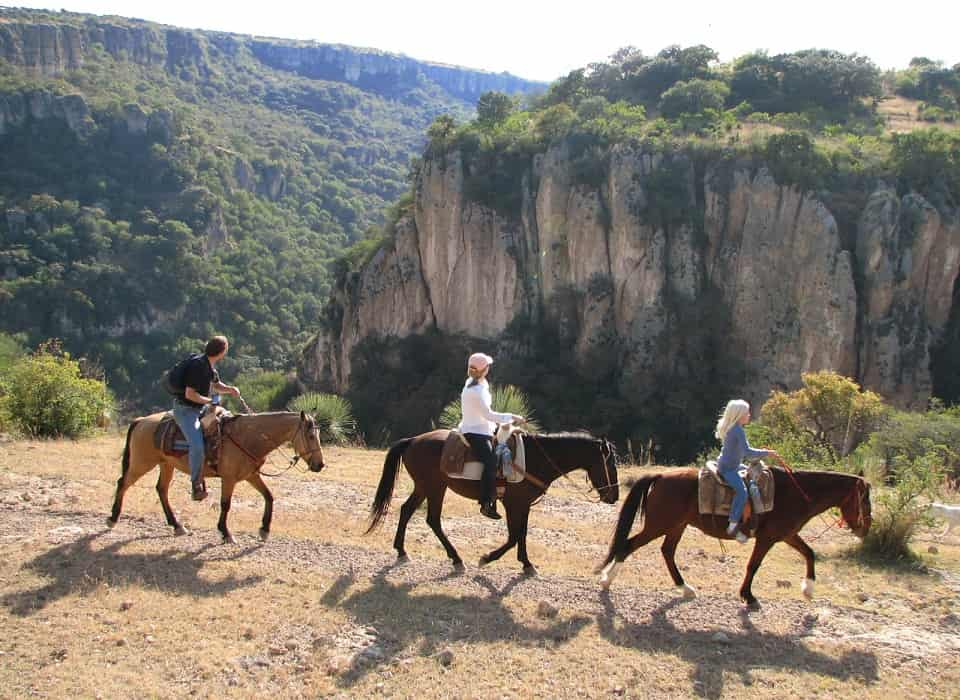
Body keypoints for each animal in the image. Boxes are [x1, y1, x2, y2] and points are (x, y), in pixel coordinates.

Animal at [108, 412, 326, 544]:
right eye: (310, 436)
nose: (320, 465)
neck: (248, 438)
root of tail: (141, 420)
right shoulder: (228, 479)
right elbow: (225, 504)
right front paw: (225, 532)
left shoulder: (251, 475)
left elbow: (269, 497)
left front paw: (264, 529)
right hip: (142, 464)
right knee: (123, 483)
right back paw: (112, 518)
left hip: (166, 464)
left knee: (161, 490)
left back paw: (177, 525)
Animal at [364, 426, 620, 576]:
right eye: (609, 463)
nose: (614, 496)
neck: (536, 458)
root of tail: (413, 440)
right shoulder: (513, 504)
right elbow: (514, 536)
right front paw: (487, 558)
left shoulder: (524, 504)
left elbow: (522, 533)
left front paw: (527, 564)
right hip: (434, 487)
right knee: (432, 519)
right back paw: (456, 559)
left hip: (425, 487)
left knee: (407, 511)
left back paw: (402, 550)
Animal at [592, 464, 872, 608]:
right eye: (865, 500)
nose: (866, 527)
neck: (797, 493)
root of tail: (661, 475)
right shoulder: (768, 538)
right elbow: (754, 565)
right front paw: (748, 595)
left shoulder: (787, 535)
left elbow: (809, 553)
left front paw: (808, 589)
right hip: (659, 525)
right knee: (629, 545)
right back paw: (607, 580)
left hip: (675, 526)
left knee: (667, 552)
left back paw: (685, 588)